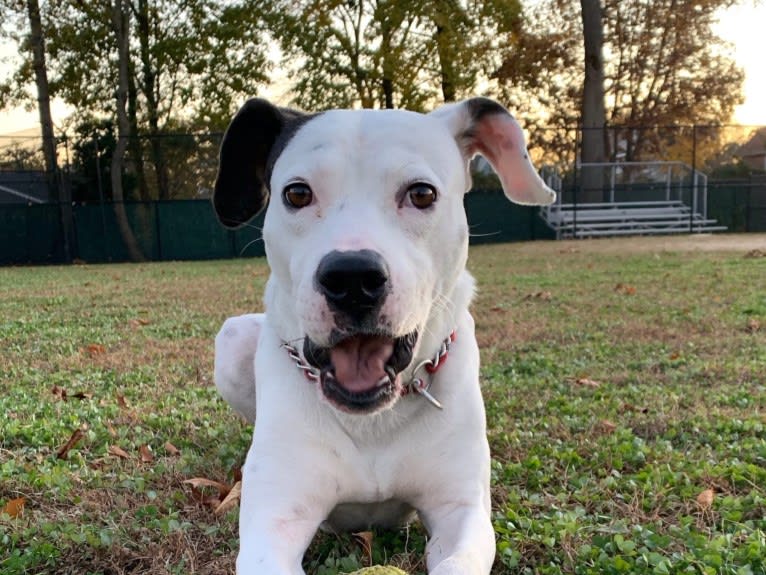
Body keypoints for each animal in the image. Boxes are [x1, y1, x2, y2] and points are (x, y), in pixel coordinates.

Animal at [213, 97, 556, 572]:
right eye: (297, 193)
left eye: (422, 193)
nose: (352, 278)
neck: (374, 418)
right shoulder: (275, 519)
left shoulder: (462, 512)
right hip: (232, 340)